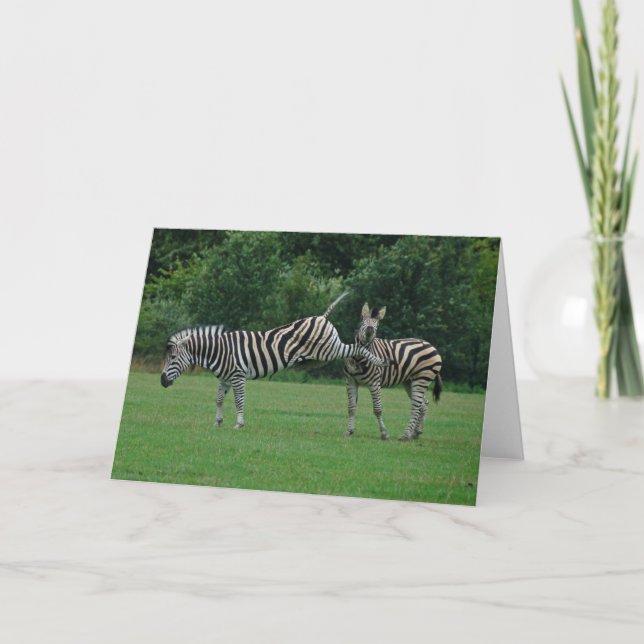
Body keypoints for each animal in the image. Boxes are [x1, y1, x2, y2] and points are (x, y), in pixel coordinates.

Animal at [160, 291, 389, 430]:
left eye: (173, 358)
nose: (161, 381)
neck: (221, 351)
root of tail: (321, 317)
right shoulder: (225, 378)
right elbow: (218, 399)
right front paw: (217, 422)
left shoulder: (237, 376)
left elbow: (239, 400)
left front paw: (239, 424)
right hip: (328, 350)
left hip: (329, 350)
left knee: (357, 348)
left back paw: (379, 361)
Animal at [344, 303, 443, 441]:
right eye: (363, 322)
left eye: (377, 325)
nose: (369, 331)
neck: (359, 358)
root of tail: (431, 345)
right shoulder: (351, 382)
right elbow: (351, 408)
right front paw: (349, 431)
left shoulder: (374, 383)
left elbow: (377, 409)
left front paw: (384, 434)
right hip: (410, 381)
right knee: (423, 404)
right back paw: (415, 433)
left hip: (422, 378)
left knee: (415, 406)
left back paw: (406, 435)